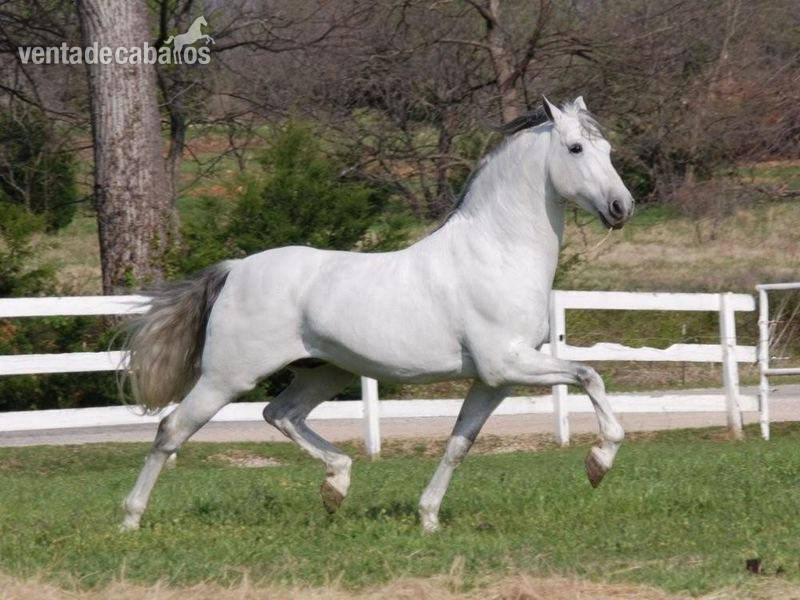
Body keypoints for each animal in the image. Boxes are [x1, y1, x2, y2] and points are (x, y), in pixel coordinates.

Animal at [120, 96, 635, 532]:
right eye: (575, 147)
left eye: (607, 148)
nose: (622, 207)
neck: (497, 252)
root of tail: (235, 269)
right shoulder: (507, 364)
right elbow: (589, 375)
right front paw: (598, 463)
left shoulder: (495, 381)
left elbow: (458, 444)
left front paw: (428, 519)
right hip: (226, 378)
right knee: (171, 430)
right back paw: (130, 520)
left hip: (325, 371)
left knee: (280, 414)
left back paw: (336, 485)